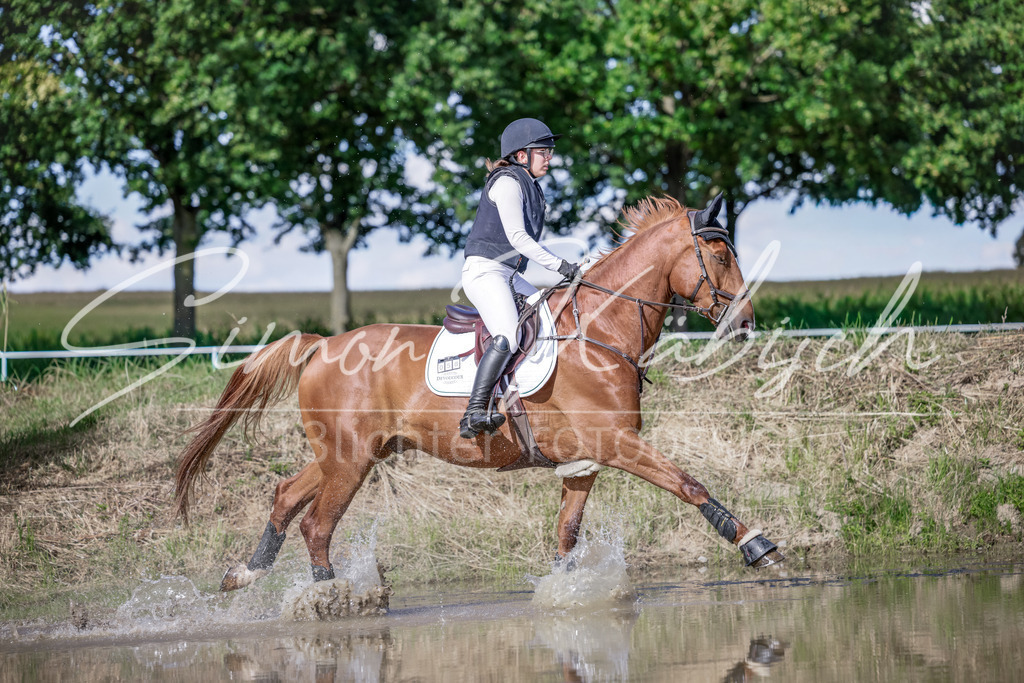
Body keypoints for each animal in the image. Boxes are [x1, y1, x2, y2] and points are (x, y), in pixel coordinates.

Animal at [175, 194, 785, 591]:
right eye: (722, 256)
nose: (745, 323)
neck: (601, 331)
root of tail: (323, 346)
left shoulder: (584, 462)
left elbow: (566, 535)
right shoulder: (618, 443)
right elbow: (689, 484)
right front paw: (756, 545)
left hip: (349, 452)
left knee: (286, 496)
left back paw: (246, 573)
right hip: (349, 458)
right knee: (316, 524)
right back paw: (327, 598)